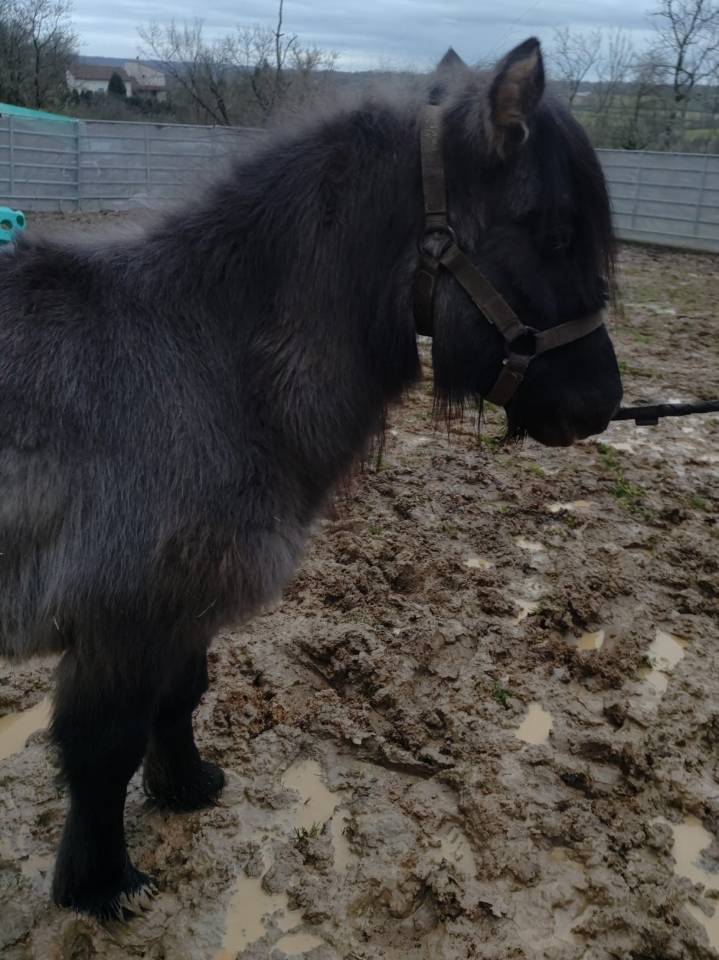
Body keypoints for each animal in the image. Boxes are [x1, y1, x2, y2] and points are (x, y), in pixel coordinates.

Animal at [0, 38, 622, 920]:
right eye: (557, 229)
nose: (601, 404)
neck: (204, 357)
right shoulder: (123, 623)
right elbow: (102, 754)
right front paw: (102, 884)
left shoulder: (184, 610)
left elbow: (179, 698)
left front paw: (186, 787)